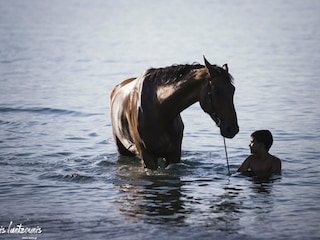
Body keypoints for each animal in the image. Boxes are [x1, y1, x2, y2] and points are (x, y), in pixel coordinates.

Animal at [109, 56, 238, 170]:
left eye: (233, 89)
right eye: (216, 90)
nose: (232, 129)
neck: (160, 110)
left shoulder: (174, 154)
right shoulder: (147, 156)